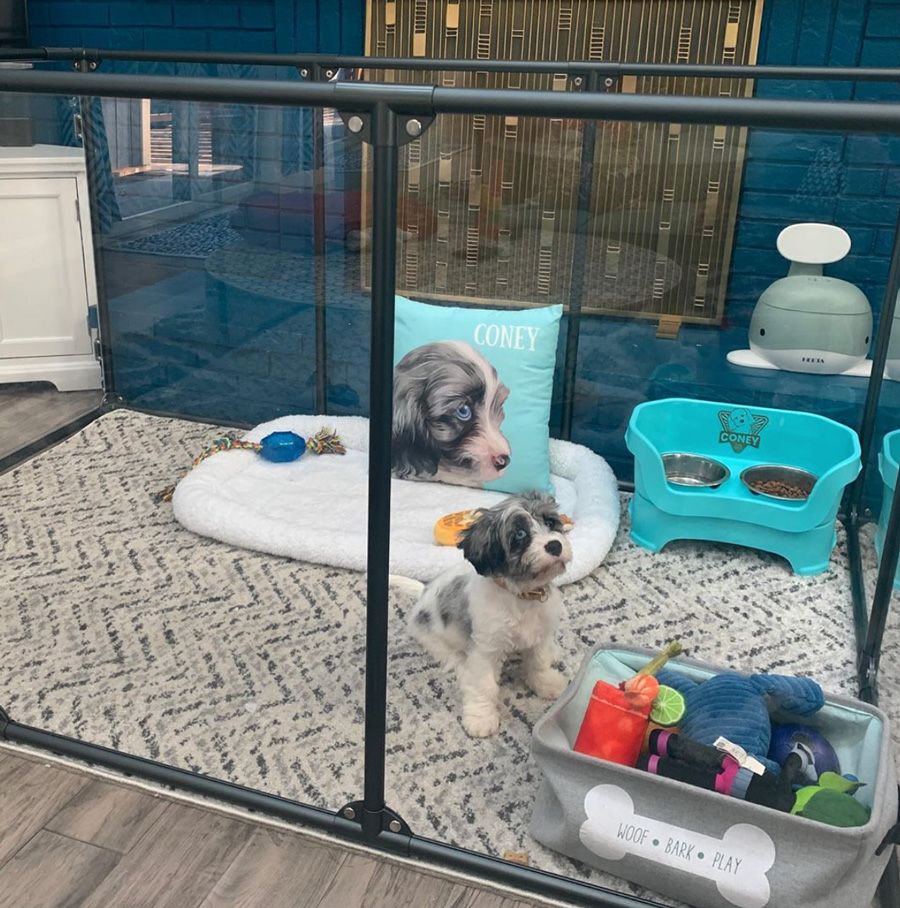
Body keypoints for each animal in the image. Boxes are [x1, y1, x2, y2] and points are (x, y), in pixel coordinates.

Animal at [401, 492, 571, 738]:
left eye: (550, 522)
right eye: (520, 534)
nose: (555, 545)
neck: (520, 597)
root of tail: (424, 592)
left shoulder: (540, 635)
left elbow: (538, 662)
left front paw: (546, 683)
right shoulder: (486, 649)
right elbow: (484, 685)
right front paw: (481, 717)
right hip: (435, 640)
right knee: (454, 659)